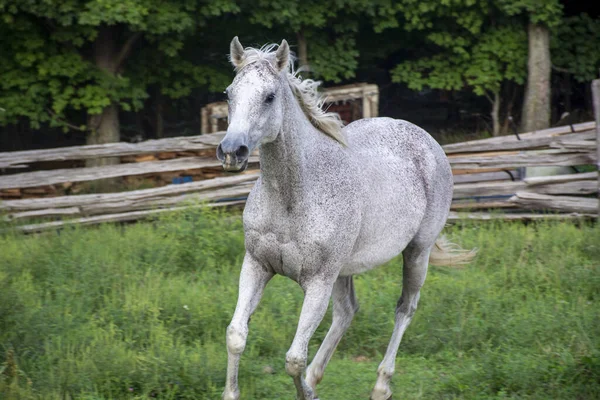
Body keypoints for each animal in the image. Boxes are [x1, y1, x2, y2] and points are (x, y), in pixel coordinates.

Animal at [218, 37, 476, 400]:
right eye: (229, 93)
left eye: (269, 96)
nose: (232, 151)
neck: (291, 197)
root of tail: (425, 139)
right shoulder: (256, 266)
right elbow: (236, 335)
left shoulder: (318, 282)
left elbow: (294, 359)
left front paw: (307, 392)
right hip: (345, 270)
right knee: (347, 312)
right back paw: (317, 377)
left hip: (417, 253)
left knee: (405, 308)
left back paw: (381, 385)